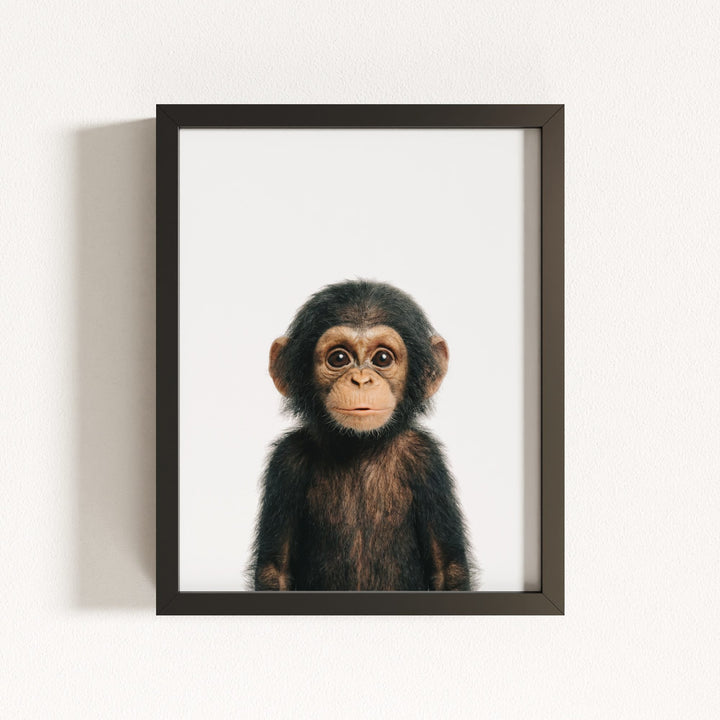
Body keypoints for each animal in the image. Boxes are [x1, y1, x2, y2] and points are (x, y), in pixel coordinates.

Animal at [250, 279, 474, 591]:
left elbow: (448, 569)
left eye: (382, 358)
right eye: (338, 358)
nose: (361, 380)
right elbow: (275, 570)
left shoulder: (427, 459)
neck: (360, 446)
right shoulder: (286, 460)